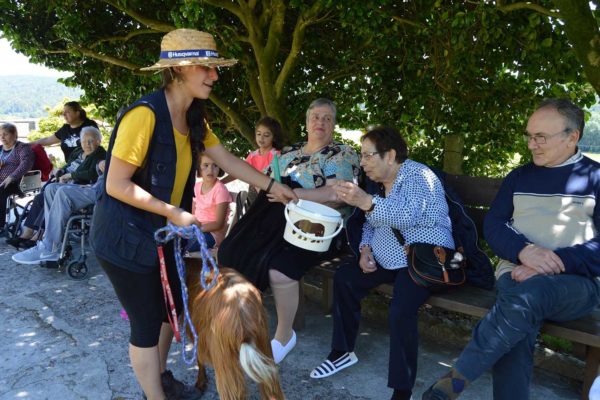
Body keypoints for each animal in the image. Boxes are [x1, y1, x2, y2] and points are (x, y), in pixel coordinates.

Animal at [185, 260, 284, 400]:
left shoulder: (196, 336)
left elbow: (199, 360)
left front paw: (200, 383)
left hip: (224, 360)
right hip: (264, 344)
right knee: (273, 389)